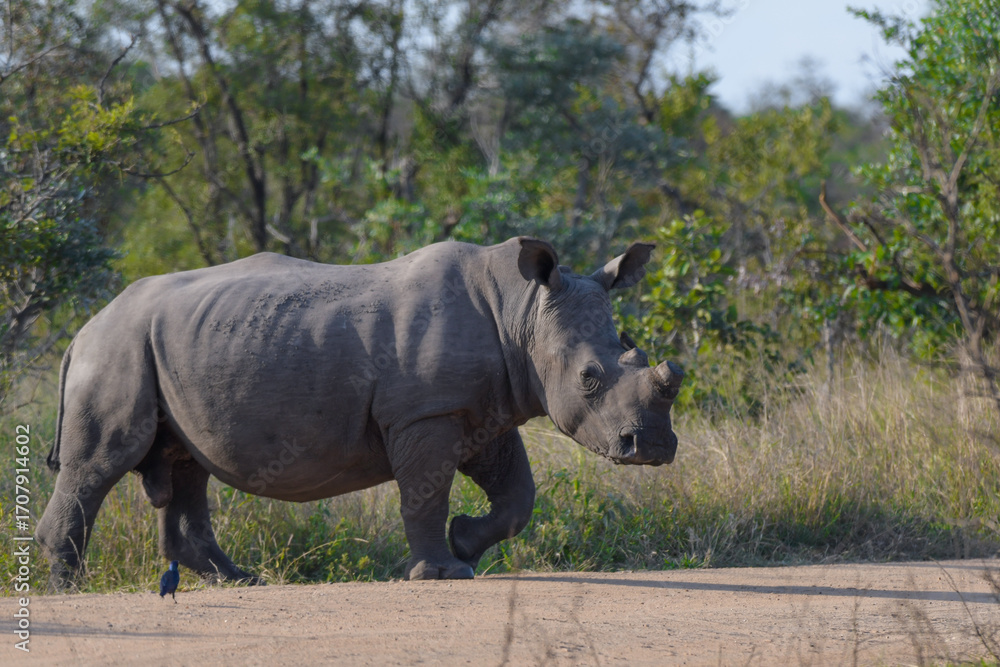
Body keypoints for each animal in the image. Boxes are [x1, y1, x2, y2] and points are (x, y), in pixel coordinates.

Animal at [37, 236, 683, 585]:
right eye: (589, 379)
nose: (651, 447)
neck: (520, 310)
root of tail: (84, 326)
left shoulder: (483, 410)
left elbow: (517, 496)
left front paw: (465, 543)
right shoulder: (427, 413)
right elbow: (426, 492)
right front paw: (442, 572)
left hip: (166, 347)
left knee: (184, 464)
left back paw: (241, 579)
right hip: (116, 349)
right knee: (101, 463)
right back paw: (70, 589)